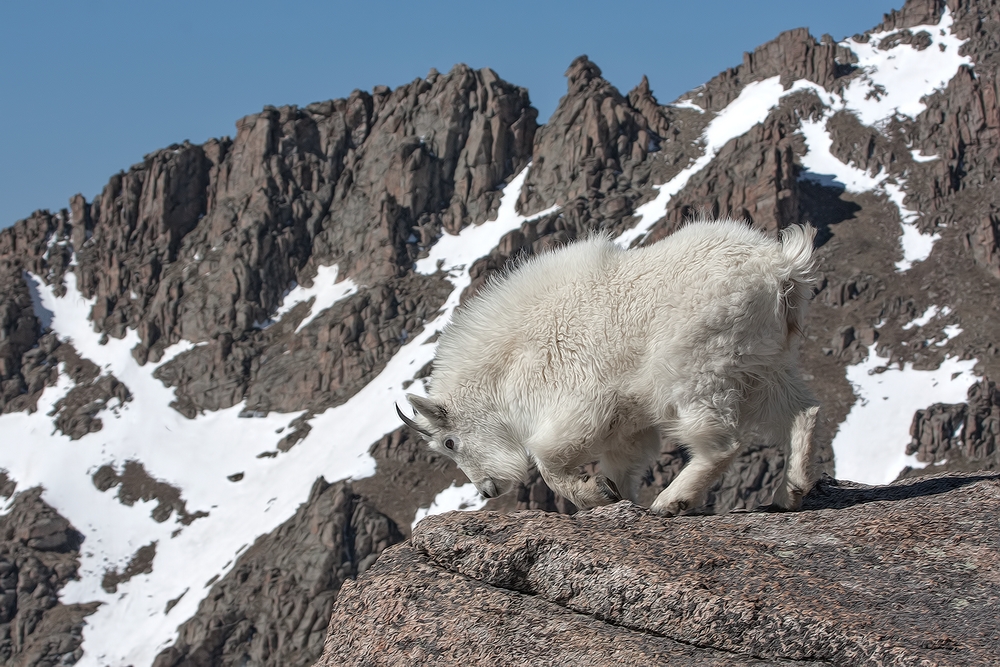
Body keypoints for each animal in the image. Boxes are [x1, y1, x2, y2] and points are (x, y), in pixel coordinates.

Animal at [398, 219, 820, 516]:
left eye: (450, 443)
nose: (487, 489)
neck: (508, 365)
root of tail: (780, 268)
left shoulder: (583, 404)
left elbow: (547, 461)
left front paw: (595, 493)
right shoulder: (627, 426)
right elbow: (622, 464)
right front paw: (614, 495)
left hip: (696, 366)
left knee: (721, 443)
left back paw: (673, 500)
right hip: (766, 363)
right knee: (802, 411)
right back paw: (790, 491)